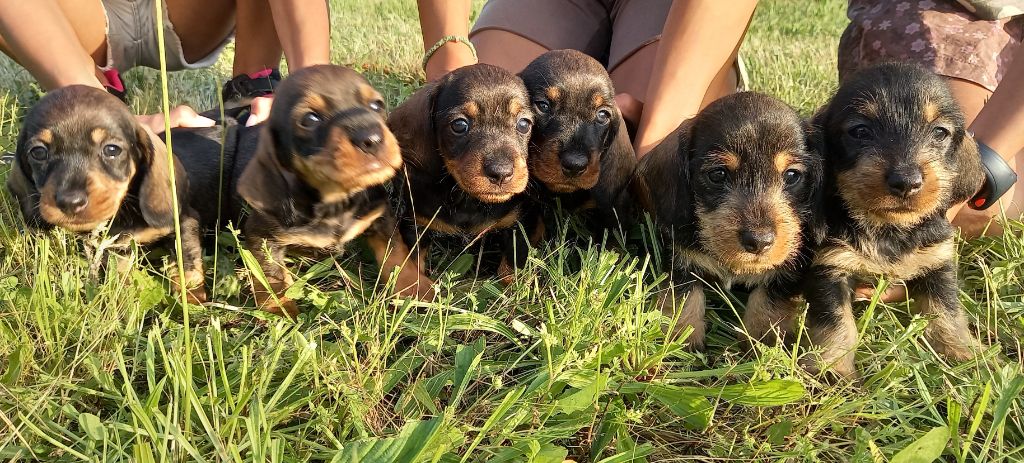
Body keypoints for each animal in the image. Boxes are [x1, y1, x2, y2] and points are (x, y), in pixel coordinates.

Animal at [4, 85, 206, 301]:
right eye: (38, 152)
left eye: (112, 149)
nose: (70, 202)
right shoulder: (120, 248)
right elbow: (121, 274)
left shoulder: (185, 220)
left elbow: (187, 261)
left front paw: (191, 296)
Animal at [387, 63, 536, 282]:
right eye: (459, 125)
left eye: (524, 124)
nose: (501, 173)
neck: (468, 201)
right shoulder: (415, 226)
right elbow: (414, 267)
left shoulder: (518, 226)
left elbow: (509, 268)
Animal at [634, 91, 827, 350]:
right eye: (718, 174)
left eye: (792, 175)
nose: (759, 241)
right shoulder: (679, 260)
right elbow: (685, 297)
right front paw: (681, 339)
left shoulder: (788, 271)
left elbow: (768, 299)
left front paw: (760, 341)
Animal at [802, 61, 987, 379]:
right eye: (860, 131)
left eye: (940, 132)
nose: (906, 181)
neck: (890, 228)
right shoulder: (831, 267)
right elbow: (835, 323)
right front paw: (833, 368)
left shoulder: (937, 263)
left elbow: (947, 311)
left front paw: (963, 352)